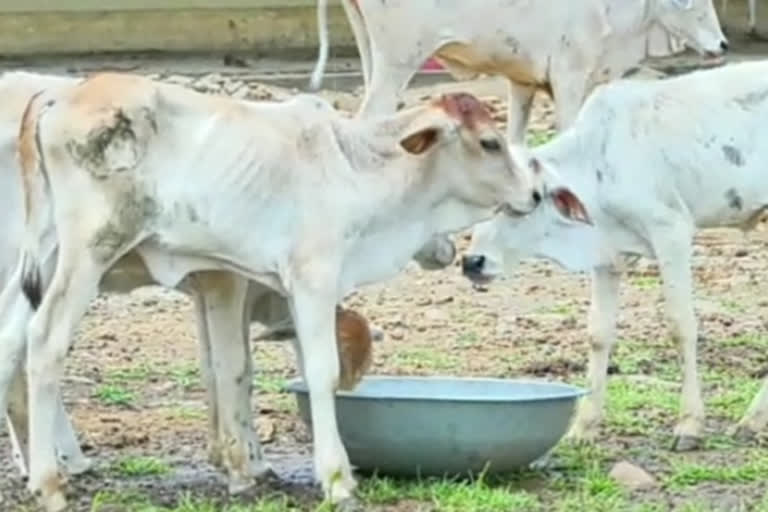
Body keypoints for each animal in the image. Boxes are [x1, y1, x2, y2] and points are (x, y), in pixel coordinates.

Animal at [7, 70, 544, 510]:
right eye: (490, 143)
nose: (535, 195)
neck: (356, 166)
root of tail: (62, 96)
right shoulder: (310, 278)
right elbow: (318, 372)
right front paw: (336, 480)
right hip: (90, 251)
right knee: (45, 341)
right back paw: (49, 482)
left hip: (43, 256)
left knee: (14, 339)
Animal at [308, 0, 728, 142]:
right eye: (695, 4)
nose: (723, 45)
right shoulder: (570, 76)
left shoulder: (523, 81)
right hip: (398, 62)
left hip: (374, 56)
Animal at [460, 58, 768, 454]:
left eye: (523, 205)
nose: (472, 263)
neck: (598, 161)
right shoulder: (607, 256)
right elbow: (598, 333)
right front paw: (584, 427)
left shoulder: (671, 231)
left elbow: (681, 325)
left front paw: (689, 424)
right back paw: (753, 420)